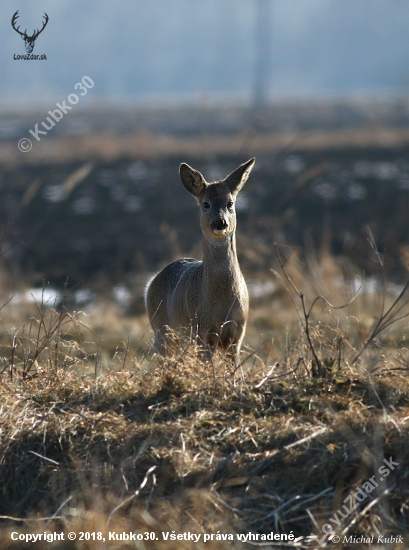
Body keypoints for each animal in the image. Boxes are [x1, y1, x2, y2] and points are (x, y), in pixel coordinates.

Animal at [145, 160, 255, 366]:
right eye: (205, 204)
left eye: (230, 203)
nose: (220, 222)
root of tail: (152, 281)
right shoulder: (202, 332)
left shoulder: (237, 334)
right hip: (162, 330)